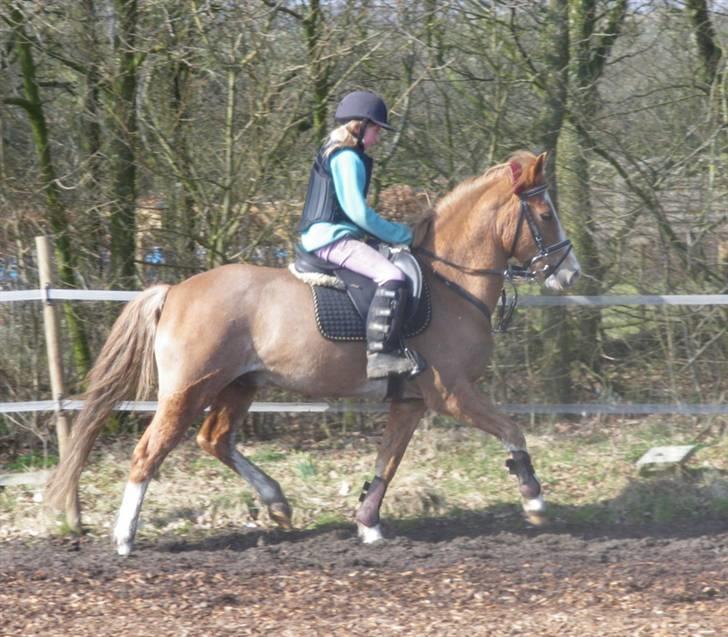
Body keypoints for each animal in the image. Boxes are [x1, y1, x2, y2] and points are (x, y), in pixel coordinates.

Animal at [44, 149, 580, 552]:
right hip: (189, 390)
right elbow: (511, 430)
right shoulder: (453, 394)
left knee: (214, 440)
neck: (449, 284)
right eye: (545, 213)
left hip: (239, 385)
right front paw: (534, 500)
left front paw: (368, 523)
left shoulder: (410, 401)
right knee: (149, 451)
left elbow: (387, 462)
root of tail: (175, 291)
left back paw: (277, 503)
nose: (570, 273)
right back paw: (124, 537)